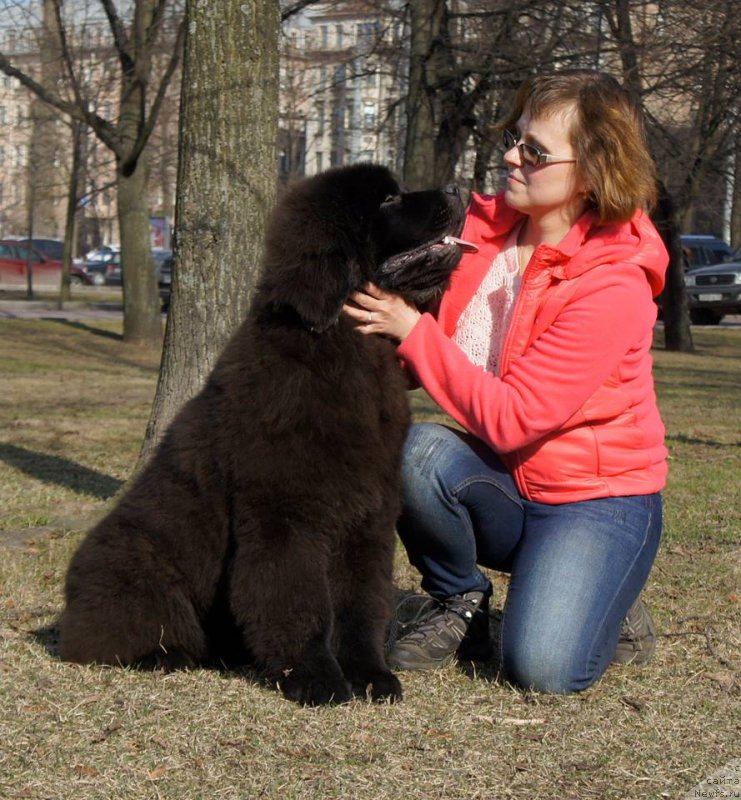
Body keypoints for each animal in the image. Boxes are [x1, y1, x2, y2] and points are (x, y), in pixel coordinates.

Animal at [59, 164, 462, 708]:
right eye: (388, 200)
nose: (458, 188)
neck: (343, 349)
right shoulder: (284, 519)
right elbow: (299, 604)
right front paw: (317, 680)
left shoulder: (368, 517)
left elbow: (361, 605)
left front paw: (370, 675)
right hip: (140, 565)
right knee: (120, 633)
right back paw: (166, 656)